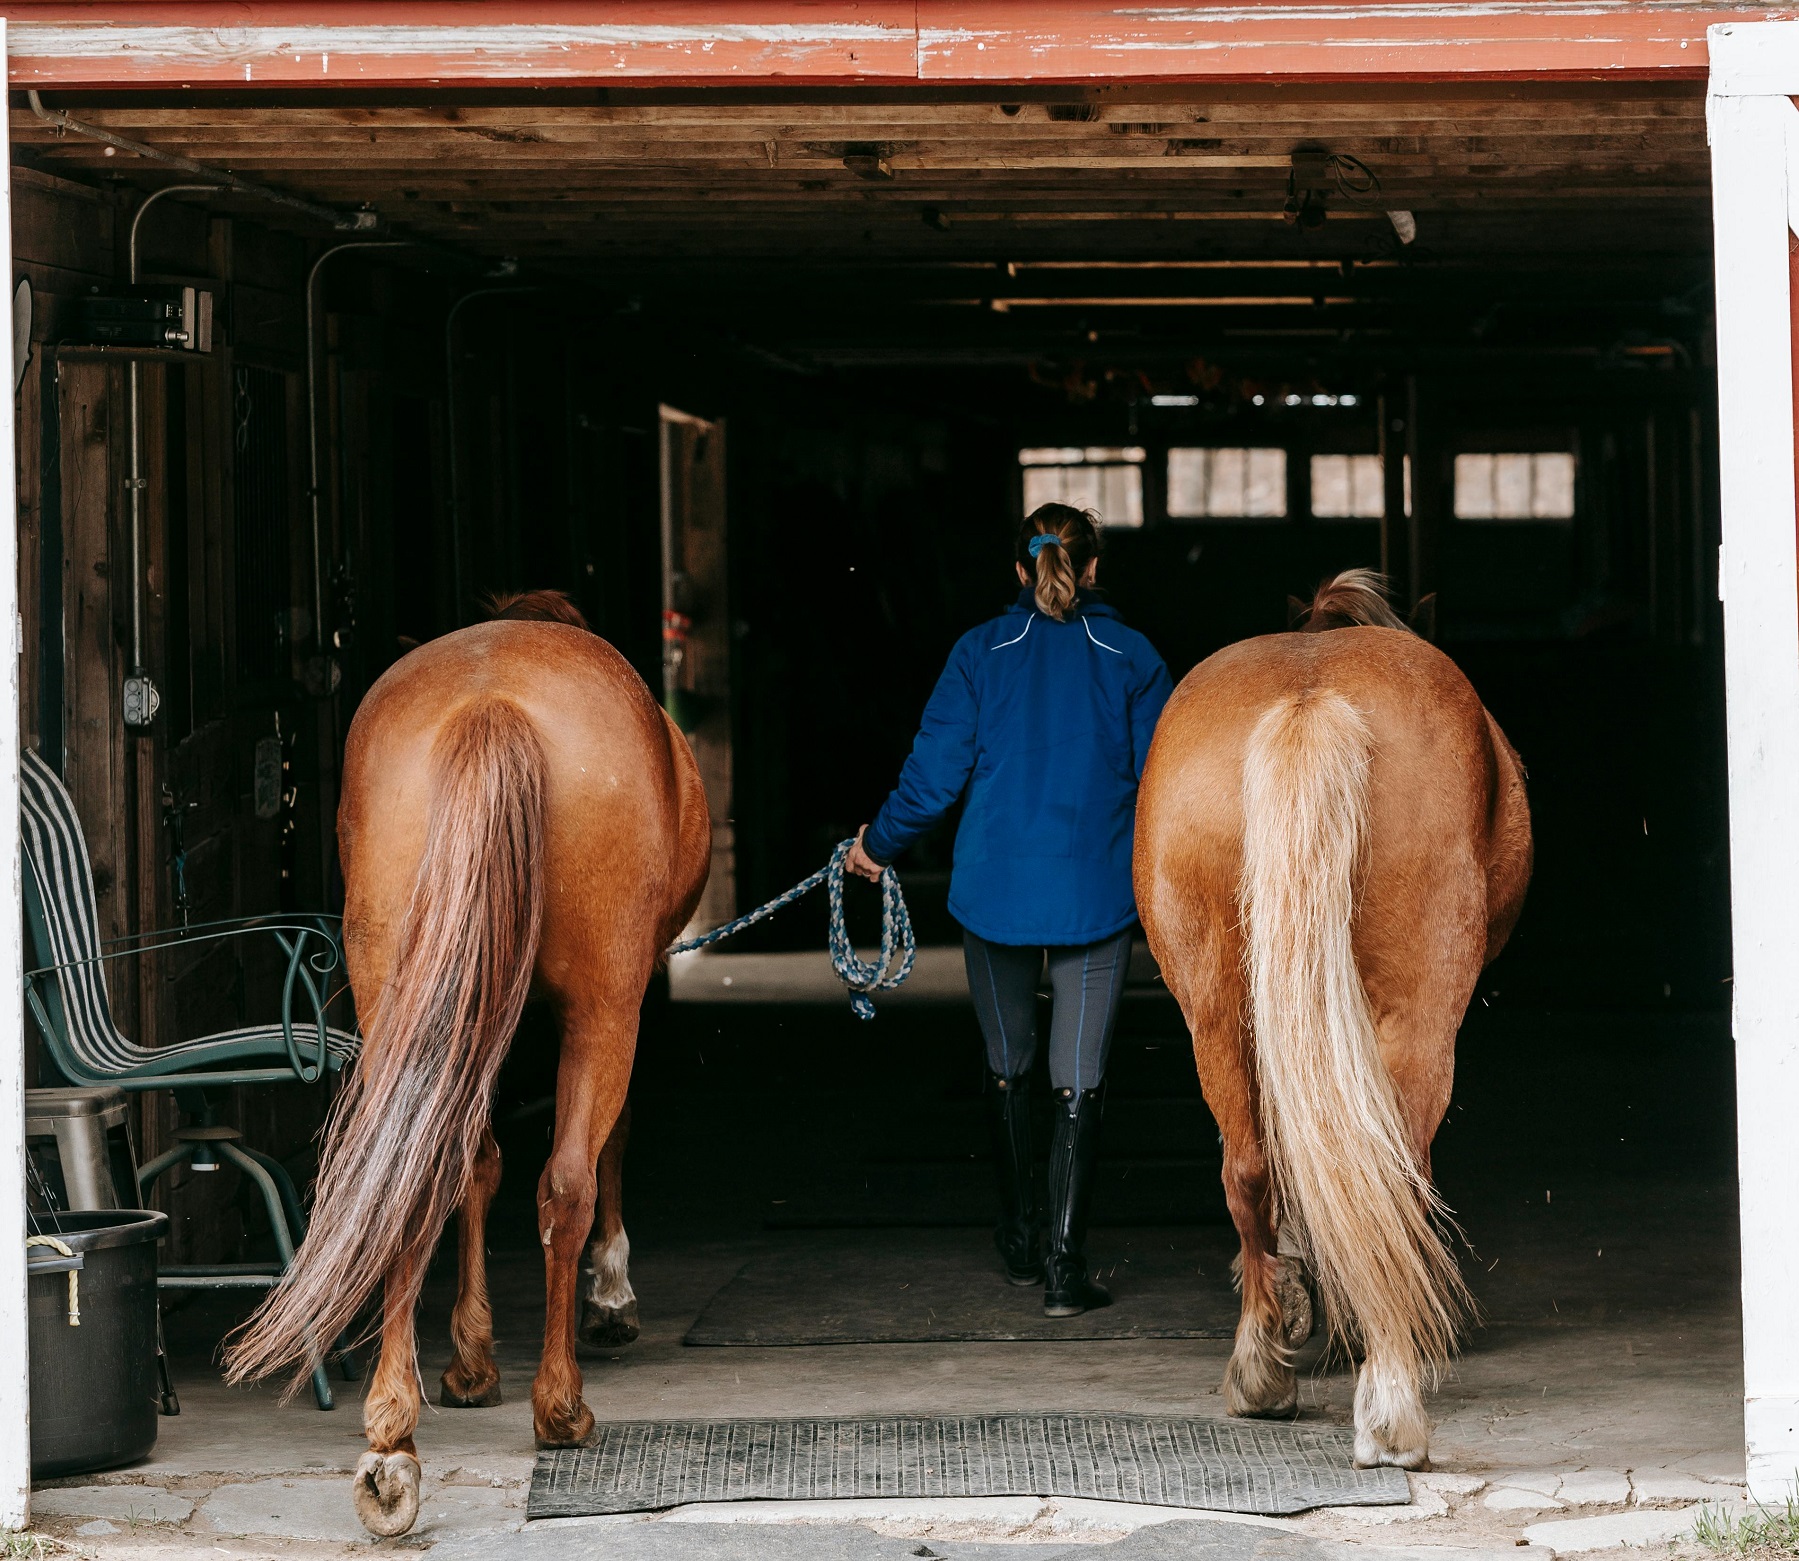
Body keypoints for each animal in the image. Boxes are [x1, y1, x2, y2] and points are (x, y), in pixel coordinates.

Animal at [221, 597, 705, 1539]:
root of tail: (491, 703)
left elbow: (474, 1164)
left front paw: (469, 1360)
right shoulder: (623, 996)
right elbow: (603, 1144)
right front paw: (609, 1297)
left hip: (400, 999)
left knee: (409, 1180)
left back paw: (392, 1445)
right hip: (603, 1006)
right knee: (566, 1179)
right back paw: (560, 1408)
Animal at [1129, 571, 1525, 1460]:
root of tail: (1308, 701)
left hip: (1215, 1007)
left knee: (1249, 1168)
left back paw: (1261, 1373)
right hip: (1419, 1012)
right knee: (1391, 1175)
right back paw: (1387, 1399)